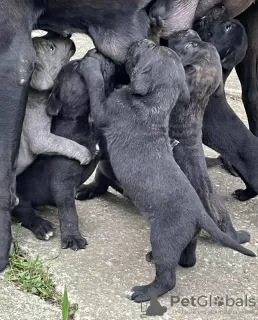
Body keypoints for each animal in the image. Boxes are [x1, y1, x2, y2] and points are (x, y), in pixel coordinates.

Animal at [11, 56, 111, 249]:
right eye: (76, 66)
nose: (94, 54)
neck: (82, 122)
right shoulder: (62, 183)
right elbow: (69, 212)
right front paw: (72, 237)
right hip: (19, 198)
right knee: (24, 213)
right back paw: (42, 226)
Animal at [15, 33, 90, 175]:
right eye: (51, 48)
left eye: (47, 34)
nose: (68, 37)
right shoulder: (40, 138)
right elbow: (62, 142)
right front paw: (86, 154)